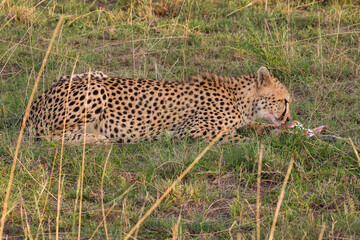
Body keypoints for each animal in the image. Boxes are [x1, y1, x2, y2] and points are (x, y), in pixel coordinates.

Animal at [27, 66, 292, 143]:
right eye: (285, 101)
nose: (288, 118)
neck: (240, 99)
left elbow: (254, 129)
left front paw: (275, 132)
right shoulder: (191, 130)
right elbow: (239, 139)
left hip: (96, 74)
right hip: (96, 91)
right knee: (47, 137)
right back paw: (96, 139)